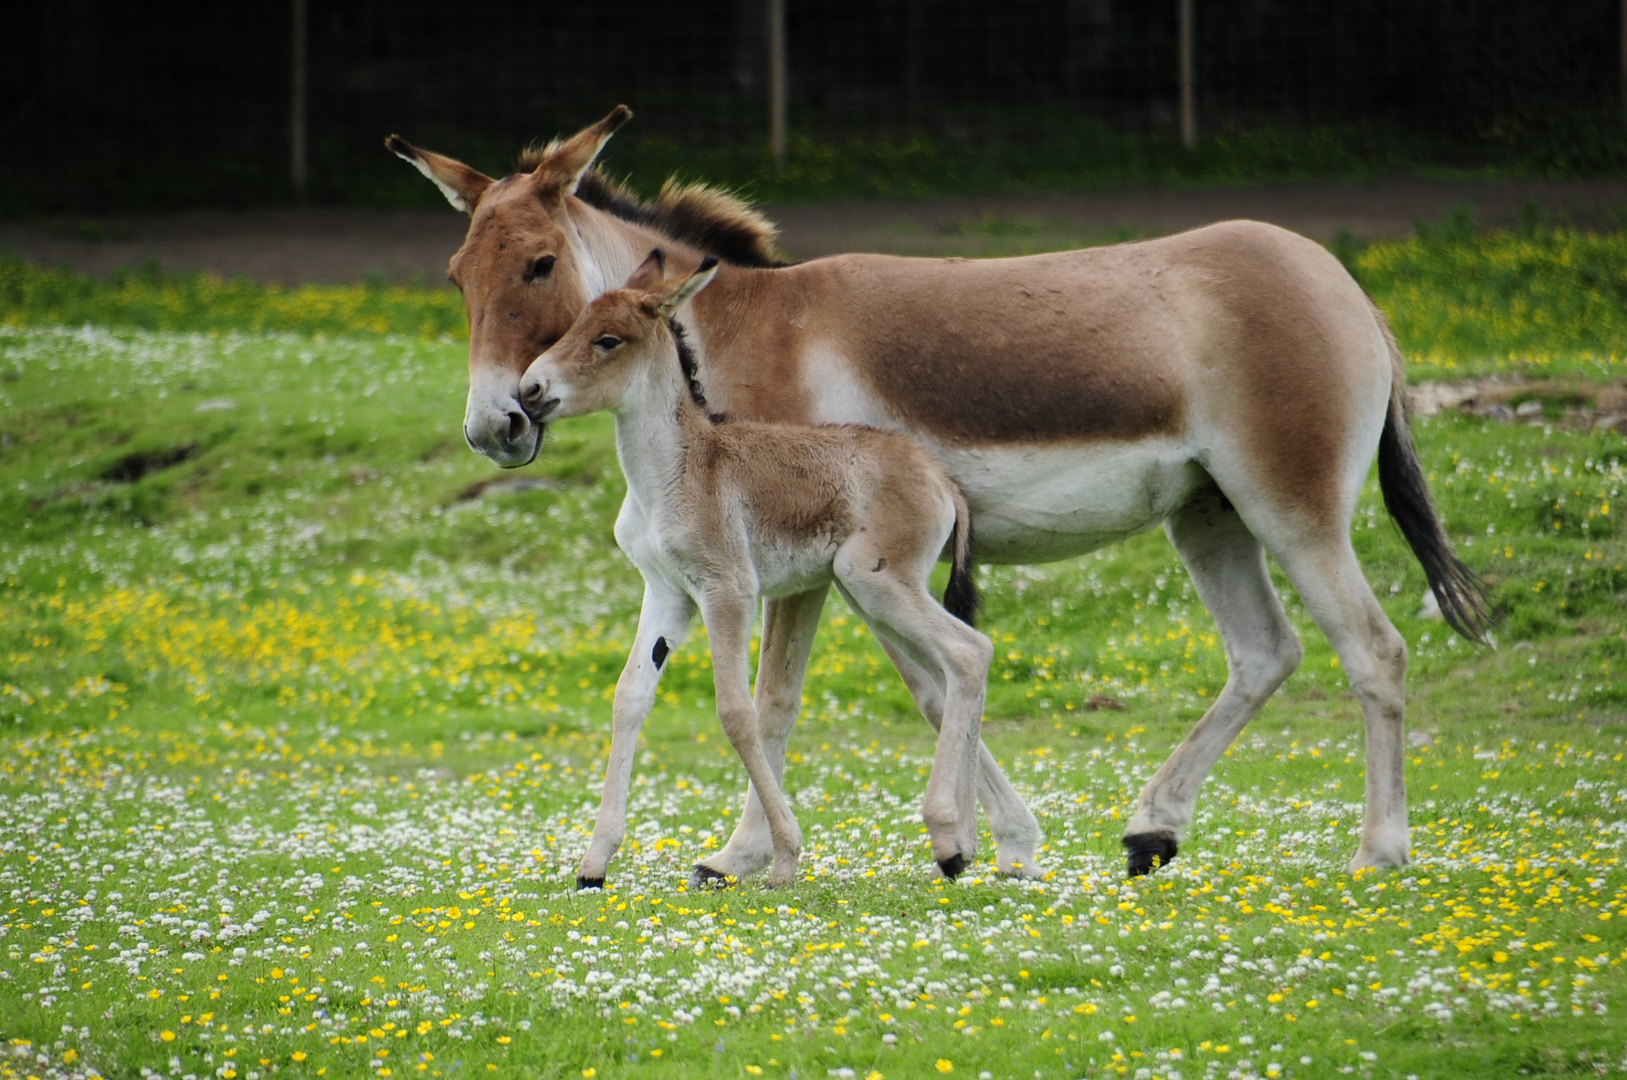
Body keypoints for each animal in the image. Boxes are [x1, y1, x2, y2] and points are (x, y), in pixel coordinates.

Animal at [520, 250, 989, 884]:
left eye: (607, 340)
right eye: (573, 325)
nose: (529, 389)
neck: (678, 470)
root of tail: (939, 476)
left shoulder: (728, 592)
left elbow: (737, 712)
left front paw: (785, 853)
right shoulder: (666, 593)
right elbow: (629, 698)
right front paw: (595, 862)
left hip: (877, 583)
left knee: (968, 653)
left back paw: (947, 838)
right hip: (871, 595)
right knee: (963, 663)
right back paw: (967, 841)